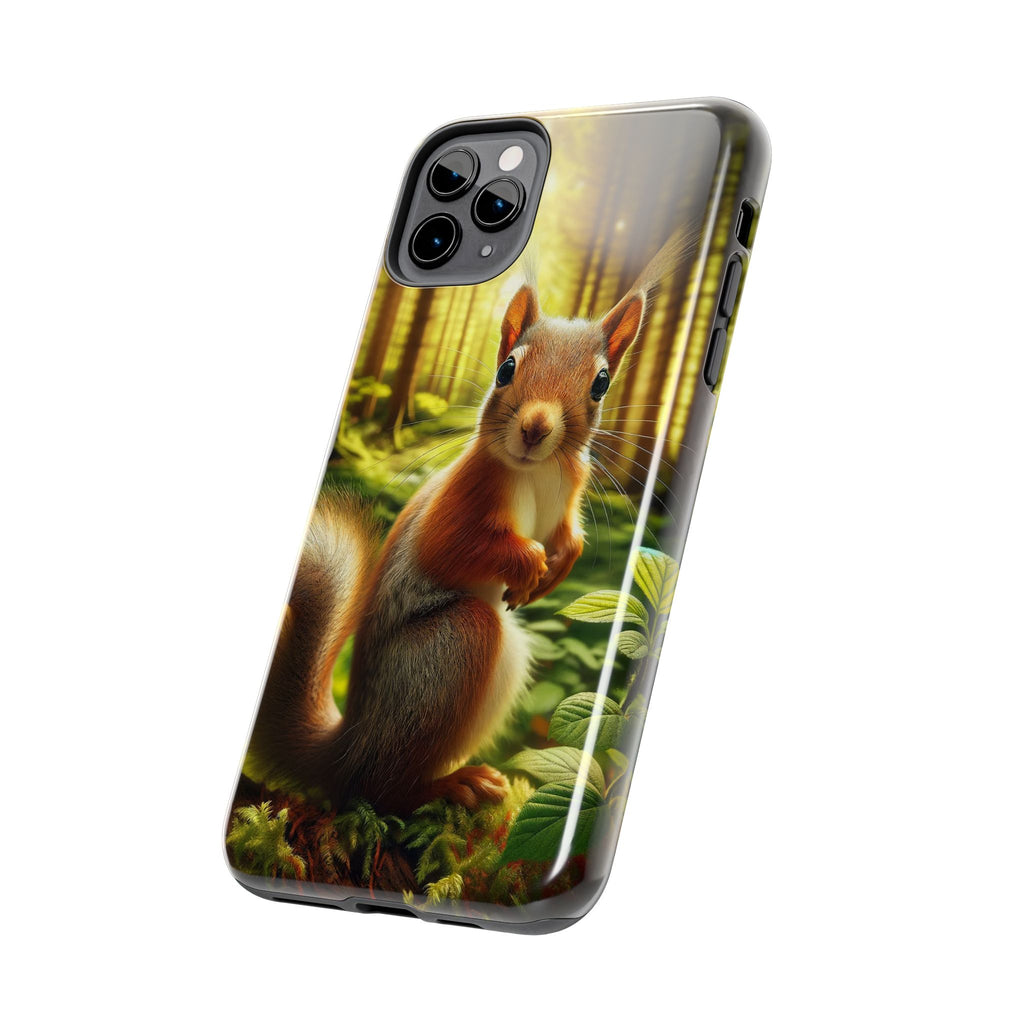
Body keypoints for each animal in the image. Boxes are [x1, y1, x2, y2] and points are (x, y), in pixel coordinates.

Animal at [247, 246, 679, 815]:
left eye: (601, 384)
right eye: (507, 367)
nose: (535, 428)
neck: (539, 470)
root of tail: (349, 745)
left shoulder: (568, 494)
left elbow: (570, 535)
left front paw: (557, 566)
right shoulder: (465, 494)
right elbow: (449, 548)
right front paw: (530, 563)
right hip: (452, 646)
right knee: (377, 790)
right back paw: (450, 786)